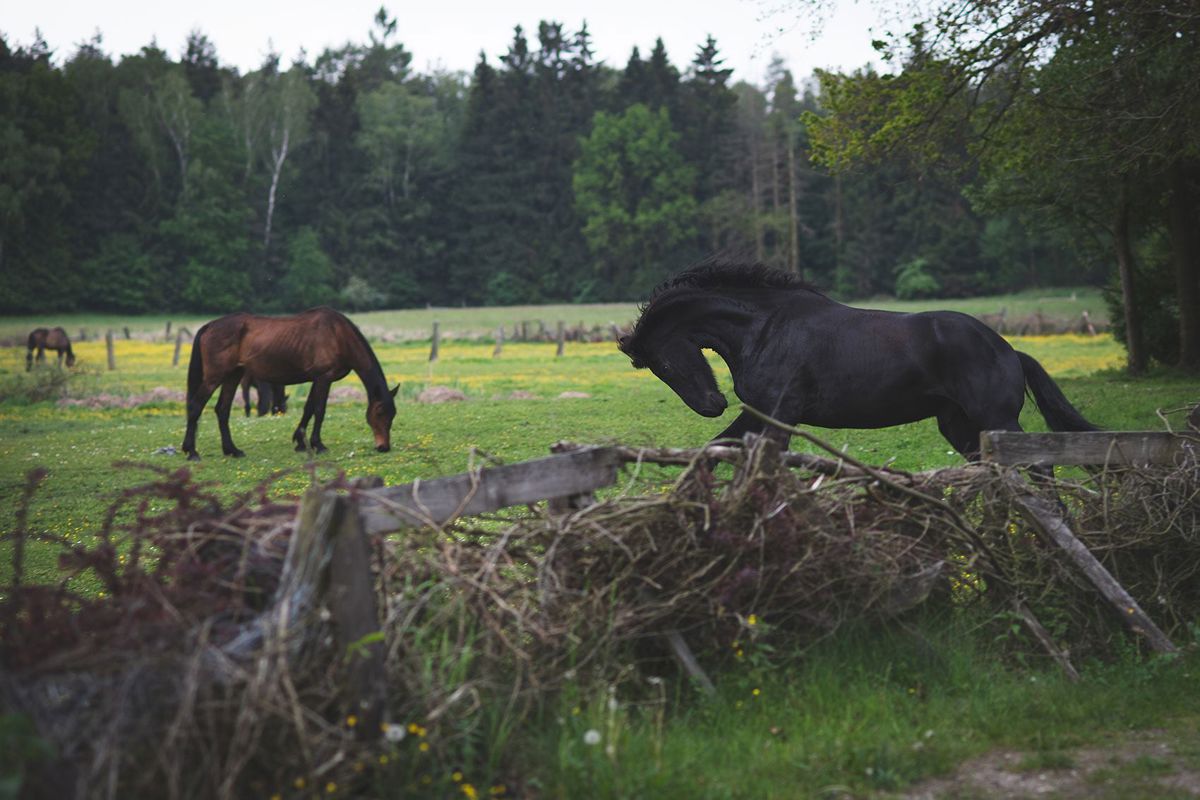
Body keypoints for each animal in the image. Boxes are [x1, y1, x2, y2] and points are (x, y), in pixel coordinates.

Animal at [182, 311, 398, 465]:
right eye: (379, 413)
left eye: (392, 415)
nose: (383, 447)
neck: (337, 334)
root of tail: (209, 326)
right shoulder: (324, 378)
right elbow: (319, 410)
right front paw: (318, 445)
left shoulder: (317, 379)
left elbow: (309, 409)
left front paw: (300, 442)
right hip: (215, 377)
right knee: (195, 407)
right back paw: (192, 451)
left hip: (233, 375)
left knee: (222, 410)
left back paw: (232, 450)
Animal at [619, 263, 1099, 455]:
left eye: (663, 365)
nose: (711, 406)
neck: (764, 328)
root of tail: (1007, 349)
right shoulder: (760, 414)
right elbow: (716, 448)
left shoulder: (780, 415)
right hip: (958, 426)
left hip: (997, 420)